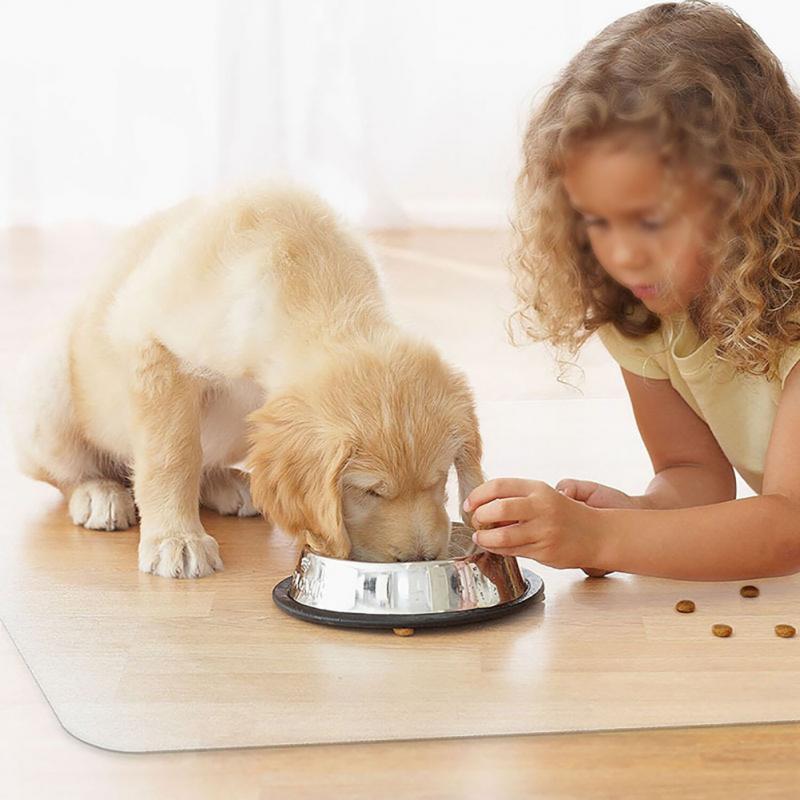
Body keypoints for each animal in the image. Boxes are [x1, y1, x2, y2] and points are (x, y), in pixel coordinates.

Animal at [10, 188, 488, 576]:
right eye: (369, 491)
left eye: (438, 480)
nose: (420, 559)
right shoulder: (154, 346)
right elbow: (172, 454)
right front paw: (176, 539)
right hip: (47, 390)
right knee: (71, 471)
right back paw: (99, 492)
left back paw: (226, 483)